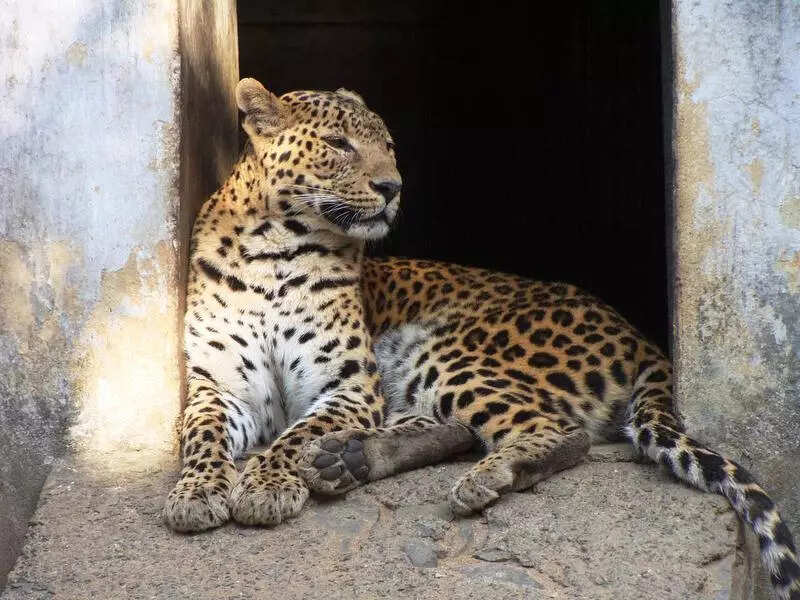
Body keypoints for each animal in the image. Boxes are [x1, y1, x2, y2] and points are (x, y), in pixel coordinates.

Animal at [163, 77, 799, 600]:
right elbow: (203, 436)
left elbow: (292, 437)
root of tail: (641, 337)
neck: (272, 248)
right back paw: (350, 460)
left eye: (388, 146)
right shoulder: (220, 387)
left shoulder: (347, 386)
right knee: (454, 430)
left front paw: (267, 483)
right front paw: (197, 493)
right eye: (340, 145)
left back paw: (485, 476)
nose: (392, 187)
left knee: (555, 432)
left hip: (451, 350)